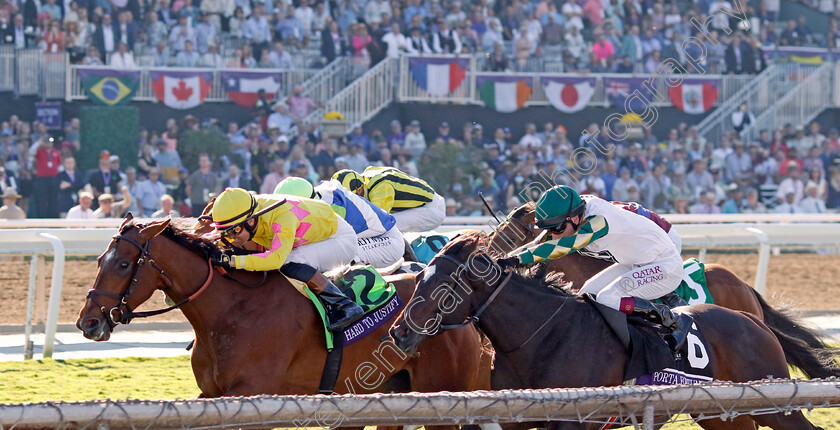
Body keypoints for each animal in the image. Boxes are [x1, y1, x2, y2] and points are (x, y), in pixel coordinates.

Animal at [79, 215, 492, 430]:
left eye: (123, 264)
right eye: (99, 259)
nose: (88, 322)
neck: (230, 310)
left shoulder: (251, 394)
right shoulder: (211, 395)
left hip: (442, 391)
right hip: (390, 393)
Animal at [388, 232, 832, 430]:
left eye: (446, 289)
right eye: (419, 278)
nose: (399, 334)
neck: (543, 336)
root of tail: (751, 319)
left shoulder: (574, 420)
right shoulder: (513, 413)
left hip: (776, 405)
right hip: (721, 414)